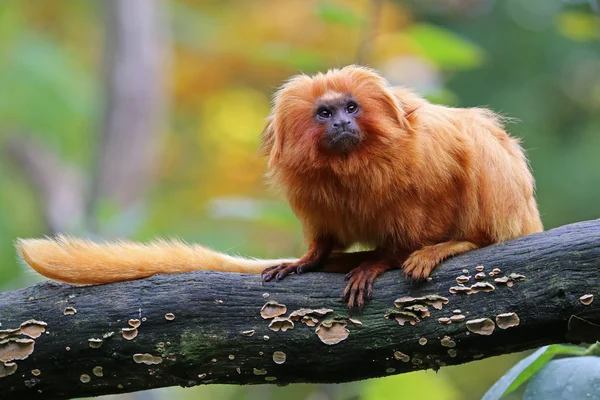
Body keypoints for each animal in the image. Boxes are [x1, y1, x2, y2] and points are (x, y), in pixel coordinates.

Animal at [15, 65, 544, 310]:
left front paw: (386, 260)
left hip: (513, 211)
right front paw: (310, 259)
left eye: (352, 107)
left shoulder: (430, 152)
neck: (358, 163)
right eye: (324, 113)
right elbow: (324, 234)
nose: (341, 124)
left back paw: (458, 244)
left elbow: (432, 201)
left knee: (484, 158)